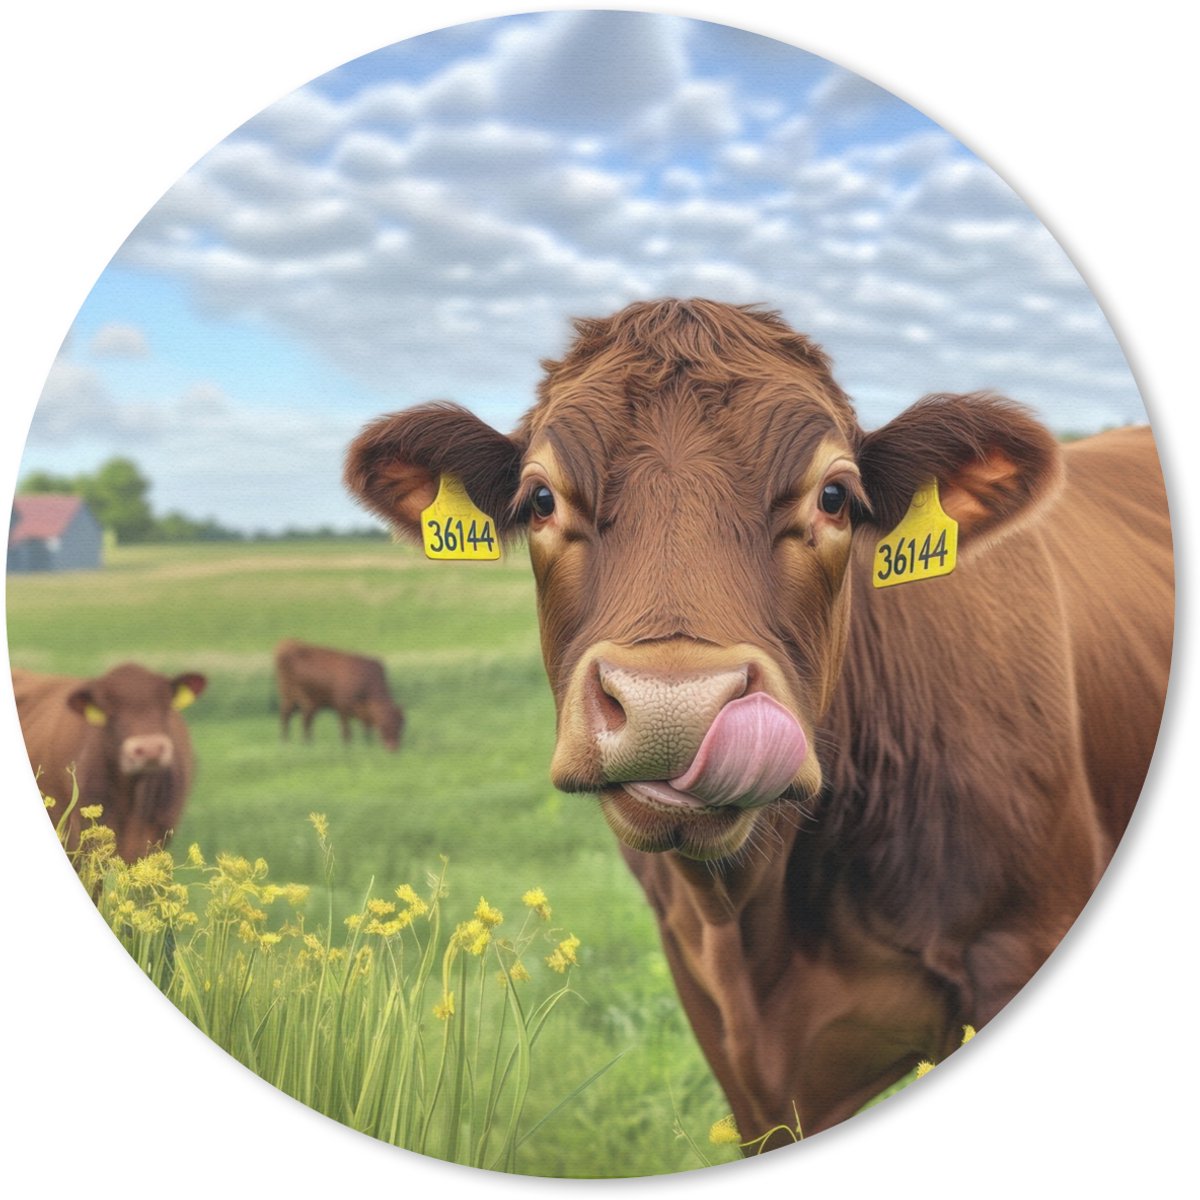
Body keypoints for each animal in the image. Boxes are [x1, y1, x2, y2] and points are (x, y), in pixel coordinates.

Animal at [275, 639, 404, 751]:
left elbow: (366, 730)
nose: (393, 748)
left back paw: (307, 743)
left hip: (308, 703)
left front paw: (368, 744)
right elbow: (346, 731)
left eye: (400, 726)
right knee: (285, 717)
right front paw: (347, 747)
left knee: (306, 721)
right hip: (289, 698)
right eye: (384, 725)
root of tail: (288, 643)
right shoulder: (343, 708)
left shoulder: (365, 713)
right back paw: (285, 741)